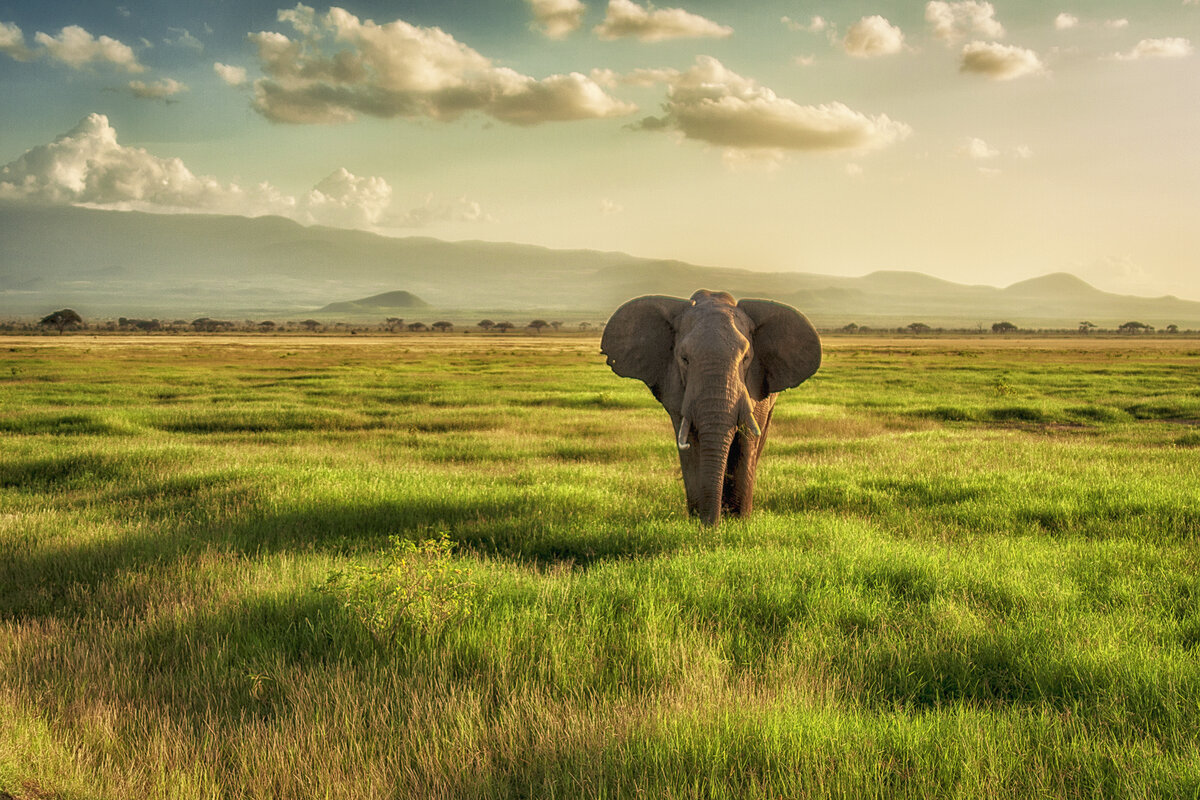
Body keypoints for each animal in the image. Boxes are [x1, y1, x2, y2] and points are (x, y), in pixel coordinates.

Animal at [600, 287, 825, 525]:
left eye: (746, 358)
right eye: (684, 359)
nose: (711, 526)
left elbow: (745, 442)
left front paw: (739, 522)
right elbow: (690, 444)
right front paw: (698, 520)